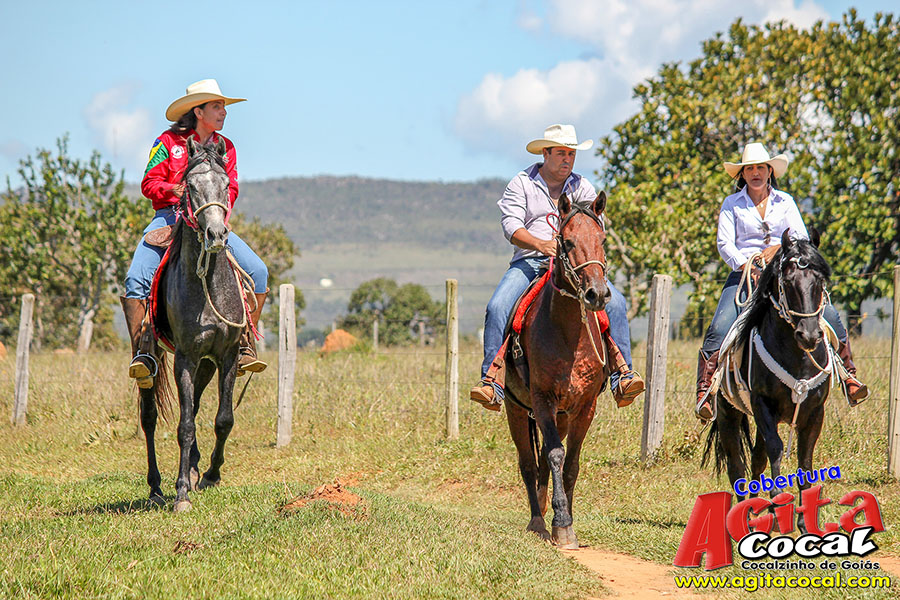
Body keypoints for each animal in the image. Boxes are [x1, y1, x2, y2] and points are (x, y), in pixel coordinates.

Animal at [140, 136, 250, 512]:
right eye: (189, 186)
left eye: (226, 185)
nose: (216, 233)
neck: (207, 287)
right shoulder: (185, 358)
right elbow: (184, 426)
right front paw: (182, 492)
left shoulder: (226, 355)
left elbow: (223, 418)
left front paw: (211, 475)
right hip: (152, 359)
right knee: (149, 417)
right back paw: (156, 487)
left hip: (206, 363)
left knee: (198, 404)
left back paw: (194, 466)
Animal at [503, 191, 612, 549]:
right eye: (567, 241)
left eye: (602, 240)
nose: (596, 294)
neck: (567, 334)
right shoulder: (543, 400)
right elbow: (553, 455)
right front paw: (561, 522)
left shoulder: (584, 407)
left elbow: (571, 463)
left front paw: (567, 522)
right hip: (517, 410)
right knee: (528, 463)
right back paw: (537, 521)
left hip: (561, 416)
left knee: (540, 464)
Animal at [704, 230, 833, 531]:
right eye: (787, 281)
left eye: (820, 280)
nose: (809, 335)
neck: (797, 359)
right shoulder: (763, 405)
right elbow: (775, 450)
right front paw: (777, 507)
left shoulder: (814, 413)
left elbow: (804, 461)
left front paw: (804, 523)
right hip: (728, 414)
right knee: (737, 465)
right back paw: (743, 516)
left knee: (756, 458)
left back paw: (755, 512)